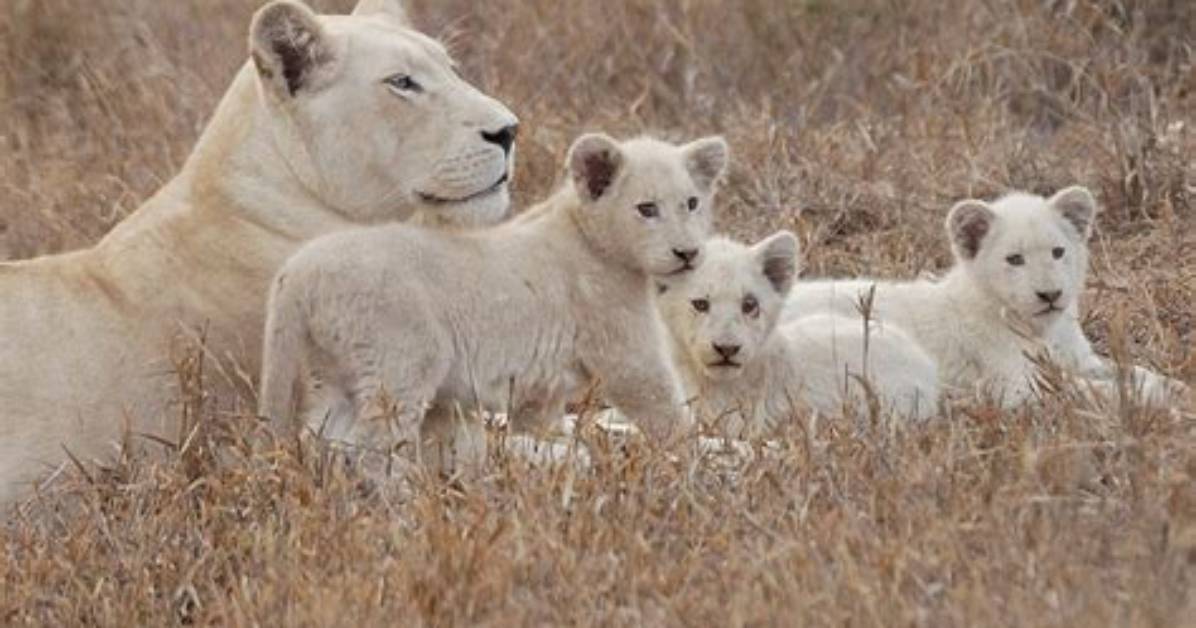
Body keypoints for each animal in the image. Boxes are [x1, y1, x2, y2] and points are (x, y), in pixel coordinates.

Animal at [259, 133, 729, 472]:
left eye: (691, 203)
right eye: (647, 209)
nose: (688, 253)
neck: (590, 236)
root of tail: (297, 271)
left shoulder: (543, 388)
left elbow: (538, 426)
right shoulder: (625, 349)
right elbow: (664, 409)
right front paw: (697, 464)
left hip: (334, 372)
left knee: (326, 437)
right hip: (400, 360)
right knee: (372, 446)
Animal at [782, 187, 1191, 408]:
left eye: (1058, 252)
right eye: (1015, 259)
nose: (1050, 294)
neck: (1045, 330)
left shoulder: (1080, 359)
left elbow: (1130, 370)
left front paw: (1175, 387)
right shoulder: (1016, 383)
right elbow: (1088, 390)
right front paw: (1157, 400)